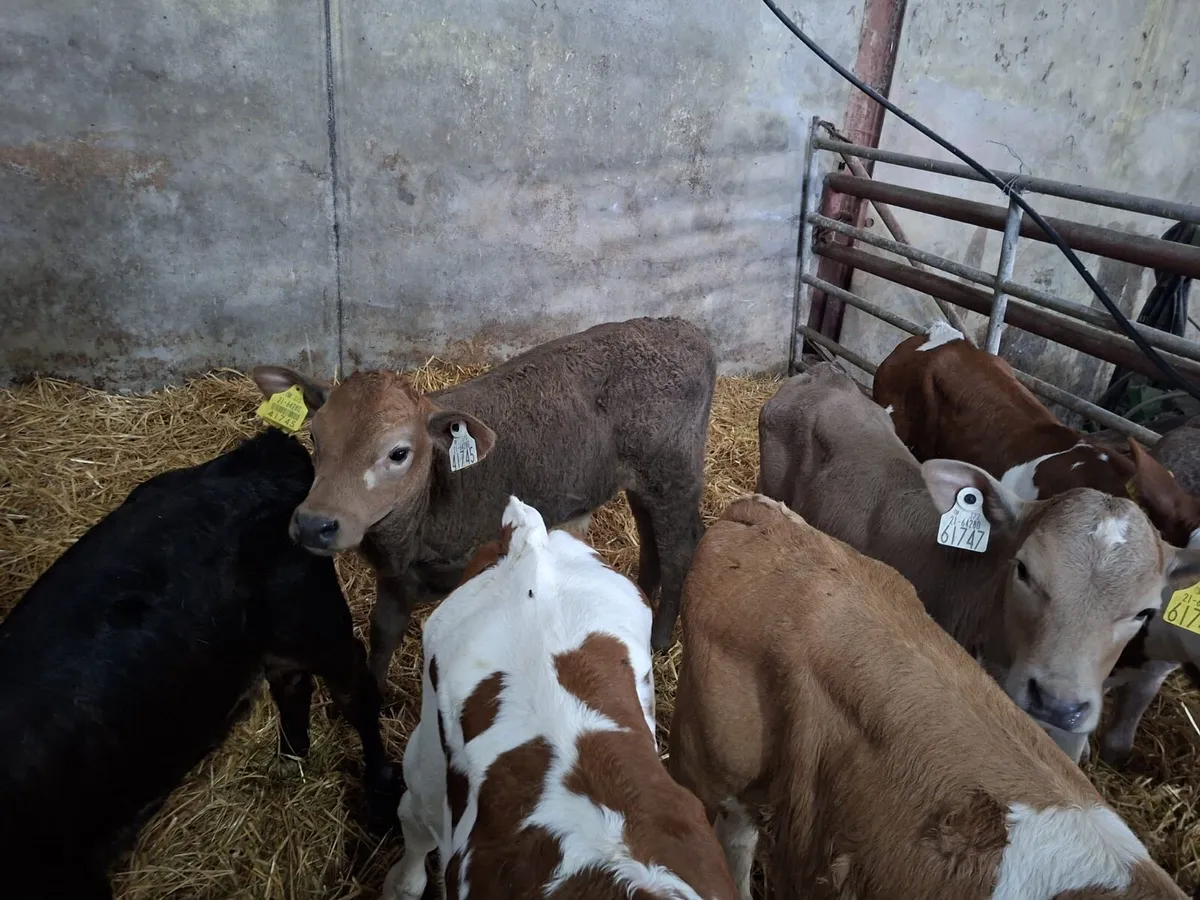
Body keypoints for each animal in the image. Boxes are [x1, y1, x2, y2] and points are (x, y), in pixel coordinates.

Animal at [0, 428, 397, 900]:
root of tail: (263, 452)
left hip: (312, 623)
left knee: (355, 692)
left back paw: (380, 795)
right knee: (293, 684)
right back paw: (291, 758)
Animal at [252, 316, 717, 690]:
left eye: (398, 453)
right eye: (315, 437)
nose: (314, 524)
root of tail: (685, 329)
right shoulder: (396, 578)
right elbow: (383, 633)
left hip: (673, 473)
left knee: (680, 550)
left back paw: (658, 637)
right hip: (643, 480)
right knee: (651, 536)